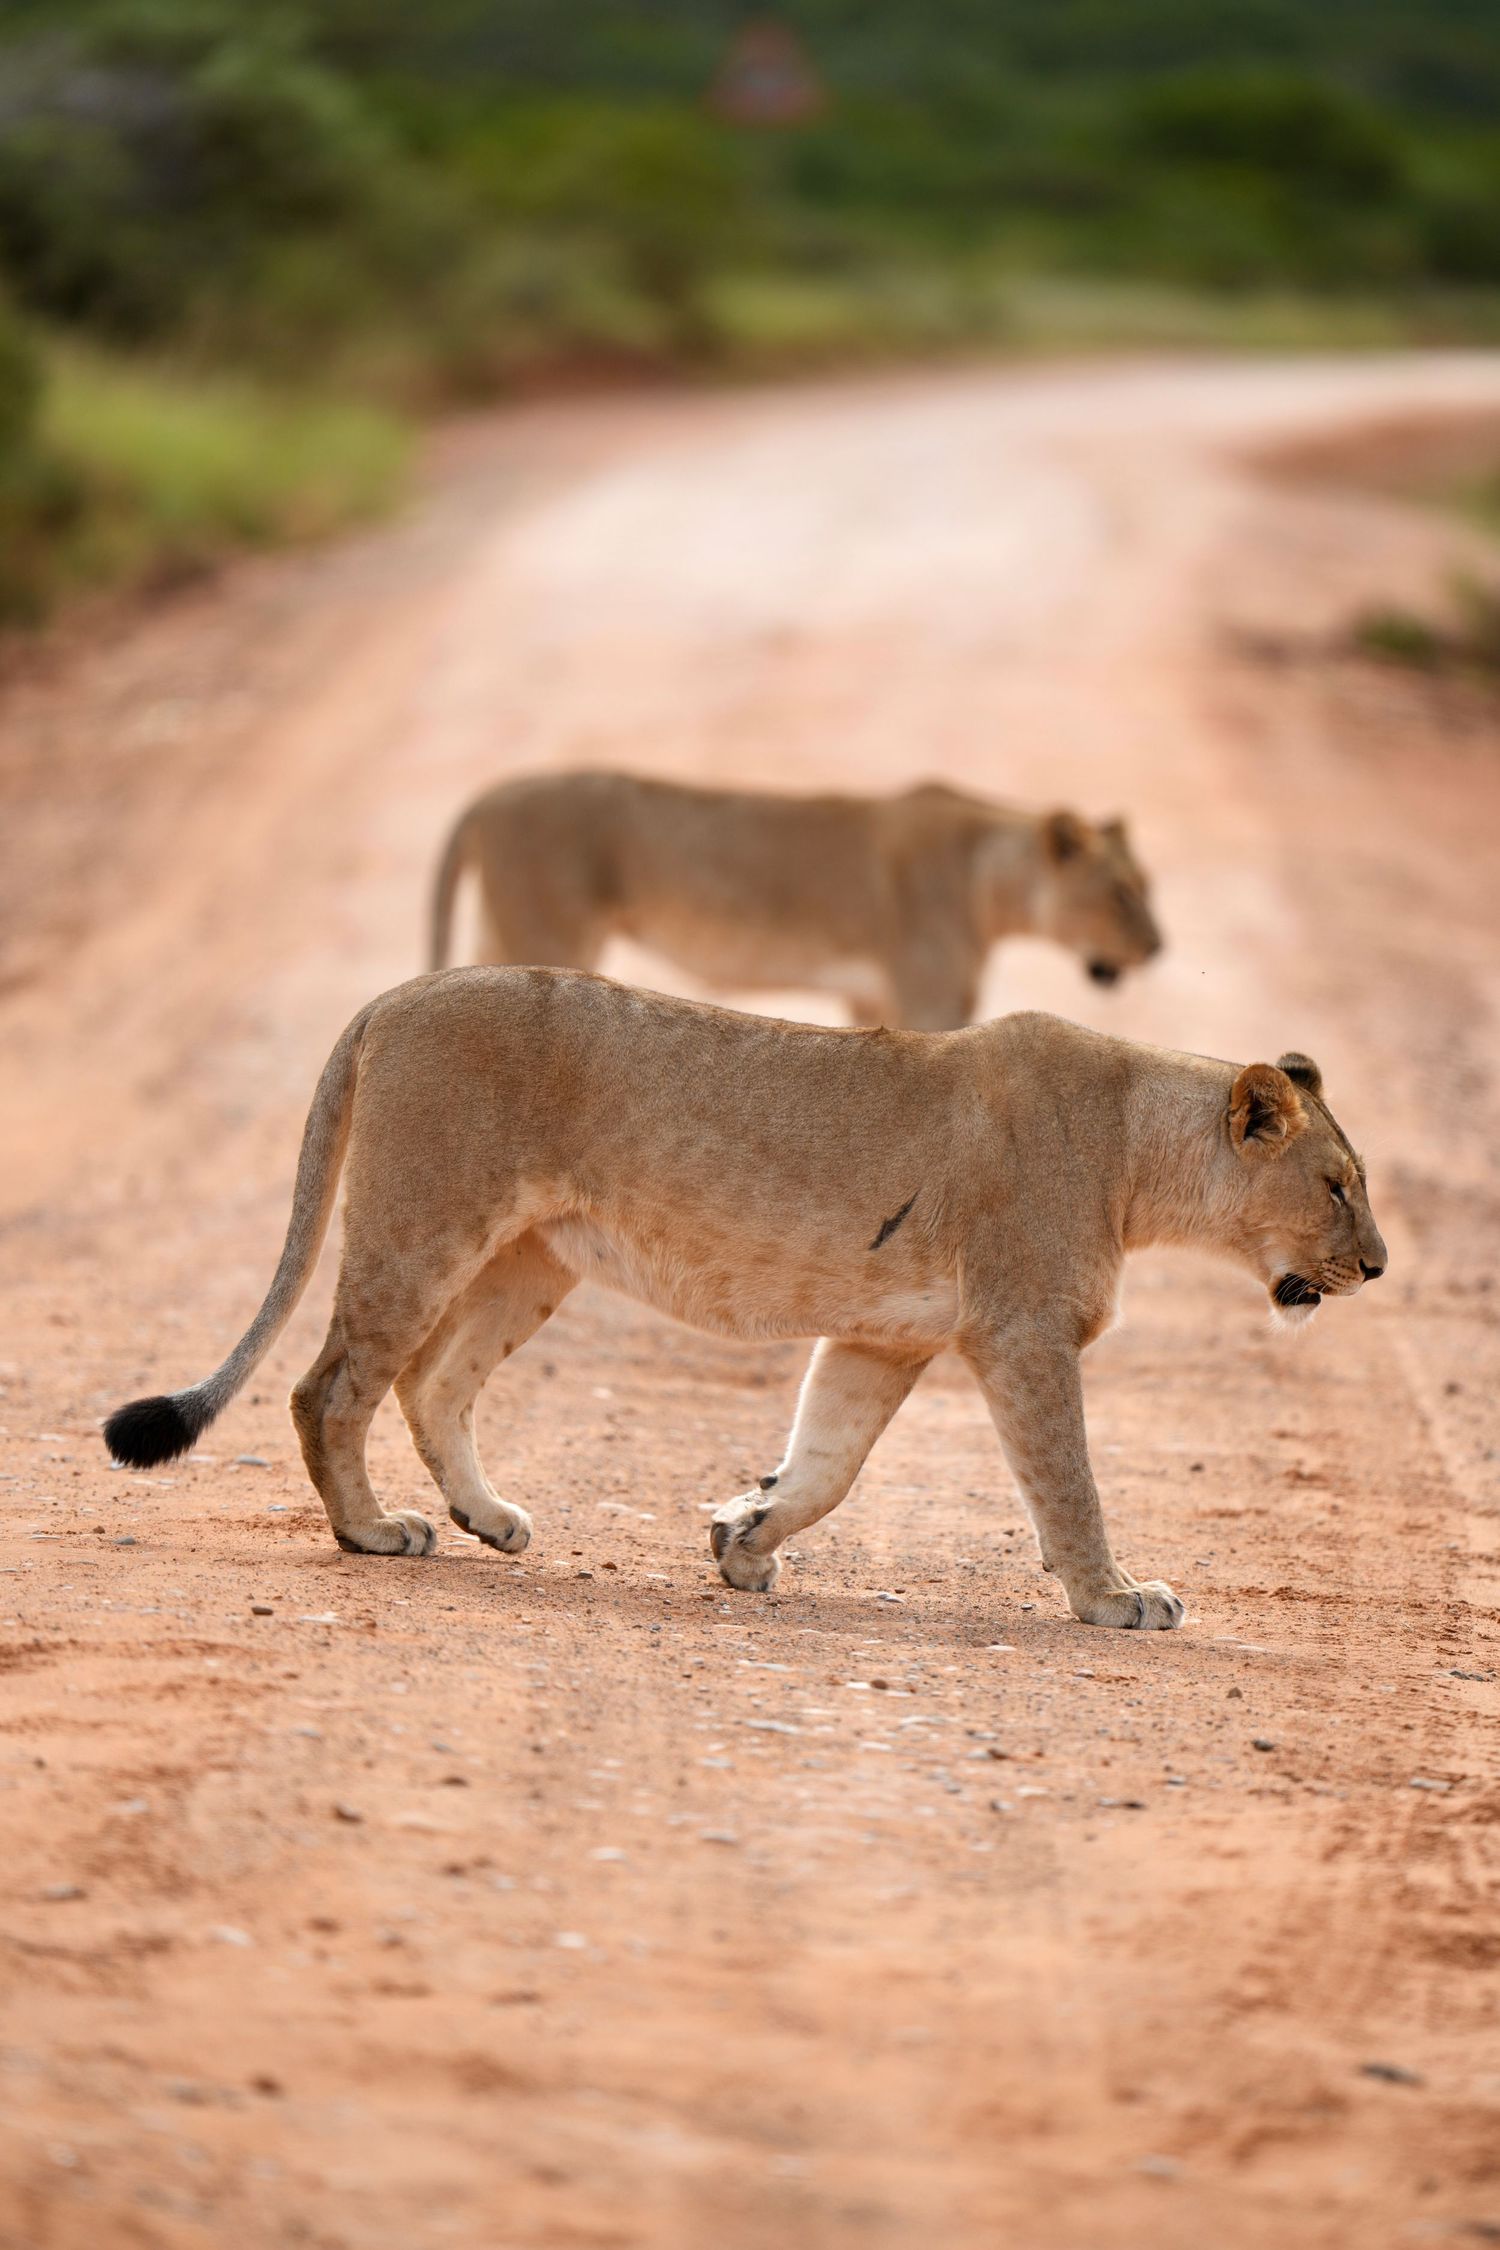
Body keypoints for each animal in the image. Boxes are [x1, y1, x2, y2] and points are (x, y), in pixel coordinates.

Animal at [103, 972, 1385, 1631]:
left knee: (430, 1381)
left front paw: (742, 1542)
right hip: (424, 1222)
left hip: (534, 1255)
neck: (1138, 1155)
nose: (1376, 1267)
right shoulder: (1023, 1332)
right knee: (330, 1388)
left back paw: (488, 1519)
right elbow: (1069, 1483)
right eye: (1335, 1185)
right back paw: (373, 1532)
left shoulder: (880, 1339)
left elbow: (827, 1462)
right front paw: (1117, 1599)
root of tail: (395, 994)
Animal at [428, 772, 1162, 1029]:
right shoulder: (931, 1001)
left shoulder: (875, 997)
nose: (1160, 948)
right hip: (545, 933)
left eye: (1146, 888)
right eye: (1122, 892)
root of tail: (489, 796)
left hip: (499, 931)